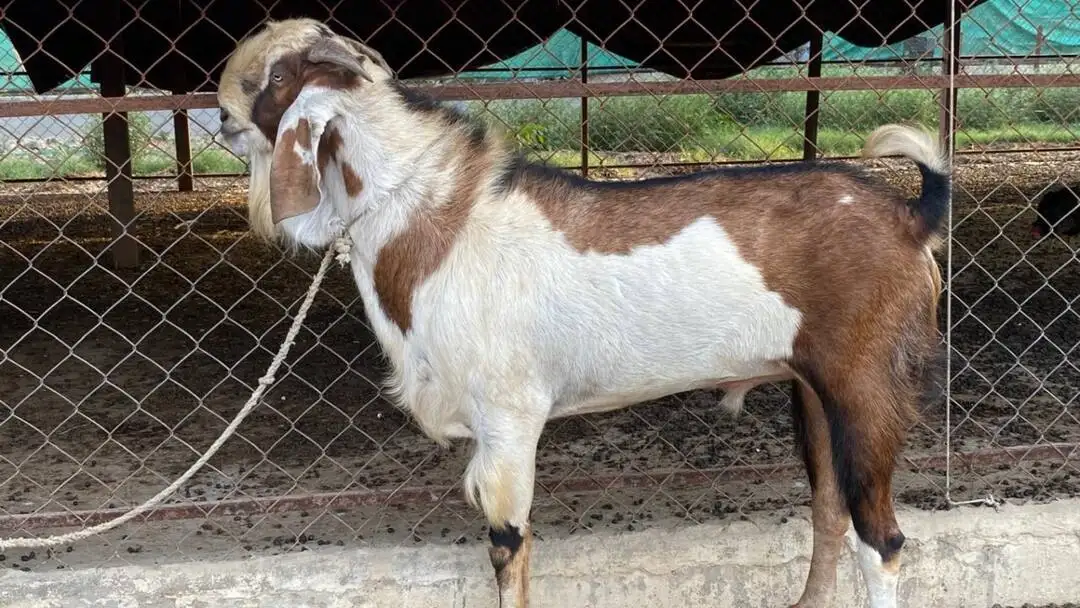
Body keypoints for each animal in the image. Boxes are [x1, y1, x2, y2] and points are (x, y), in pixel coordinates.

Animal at [217, 20, 950, 608]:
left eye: (274, 76)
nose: (220, 118)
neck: (438, 220)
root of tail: (911, 217)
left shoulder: (509, 416)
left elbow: (508, 546)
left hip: (867, 384)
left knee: (881, 539)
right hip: (814, 391)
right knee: (830, 510)